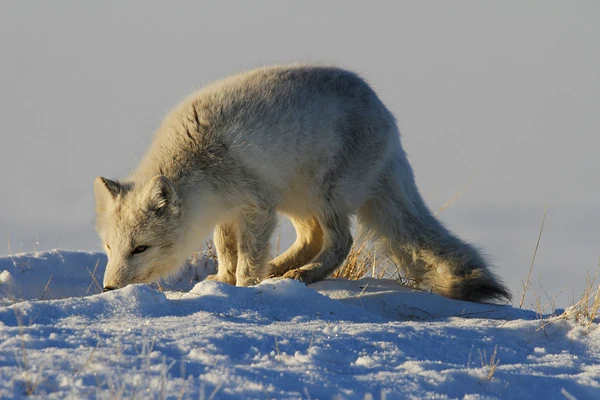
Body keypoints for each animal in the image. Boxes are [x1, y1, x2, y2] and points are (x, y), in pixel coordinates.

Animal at [95, 65, 510, 304]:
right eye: (110, 247)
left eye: (141, 248)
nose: (109, 289)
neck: (199, 159)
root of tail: (389, 120)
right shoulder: (227, 212)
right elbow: (226, 250)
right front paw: (222, 281)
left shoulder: (257, 206)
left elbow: (248, 256)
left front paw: (244, 286)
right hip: (298, 201)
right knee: (312, 239)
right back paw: (281, 270)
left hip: (324, 196)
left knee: (341, 242)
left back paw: (300, 275)